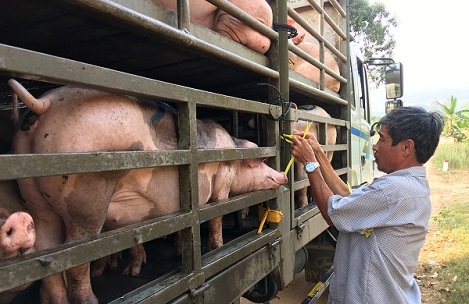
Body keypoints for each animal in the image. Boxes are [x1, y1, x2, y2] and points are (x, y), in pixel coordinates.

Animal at [8, 79, 286, 304]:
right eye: (260, 163)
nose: (282, 176)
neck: (231, 152)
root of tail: (44, 104)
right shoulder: (221, 184)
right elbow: (216, 216)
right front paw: (216, 249)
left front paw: (139, 268)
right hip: (86, 194)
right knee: (76, 259)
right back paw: (91, 299)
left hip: (33, 195)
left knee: (49, 254)